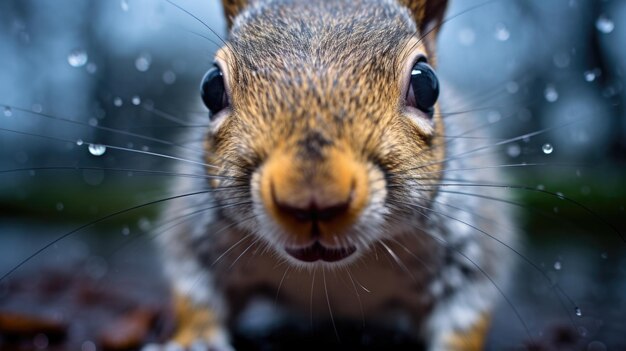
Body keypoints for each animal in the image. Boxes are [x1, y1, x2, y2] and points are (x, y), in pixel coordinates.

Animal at [155, 1, 512, 350]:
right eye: (210, 86)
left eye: (427, 84)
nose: (312, 198)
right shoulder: (199, 236)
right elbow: (195, 293)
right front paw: (195, 341)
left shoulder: (466, 253)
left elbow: (466, 315)